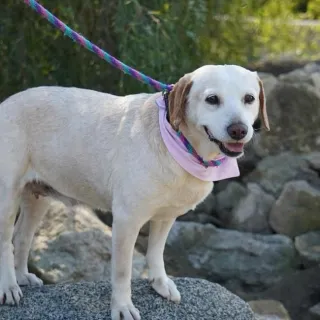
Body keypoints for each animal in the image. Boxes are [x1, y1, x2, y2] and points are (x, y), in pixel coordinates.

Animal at [0, 63, 270, 318]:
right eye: (212, 99)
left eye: (249, 98)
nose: (239, 130)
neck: (177, 143)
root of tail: (6, 102)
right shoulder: (126, 220)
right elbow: (122, 271)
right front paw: (122, 306)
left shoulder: (165, 216)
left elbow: (156, 253)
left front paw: (160, 283)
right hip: (7, 198)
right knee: (5, 242)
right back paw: (9, 287)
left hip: (39, 197)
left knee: (22, 237)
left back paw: (22, 276)